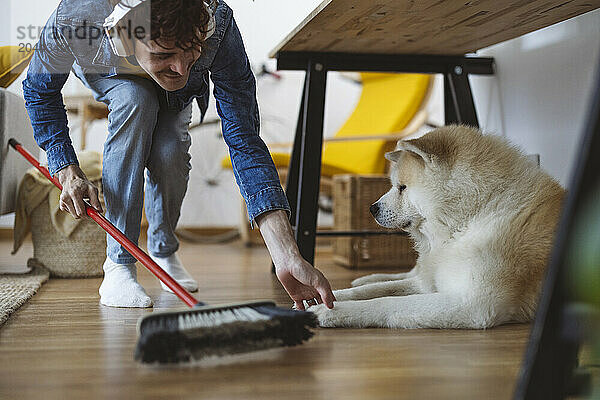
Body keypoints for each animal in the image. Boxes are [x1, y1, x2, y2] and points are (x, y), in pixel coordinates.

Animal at [310, 124, 568, 328]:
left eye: (402, 187)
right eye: (394, 185)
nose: (372, 208)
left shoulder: (472, 304)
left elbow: (386, 302)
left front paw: (330, 311)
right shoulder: (431, 283)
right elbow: (374, 291)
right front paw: (327, 295)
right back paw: (369, 277)